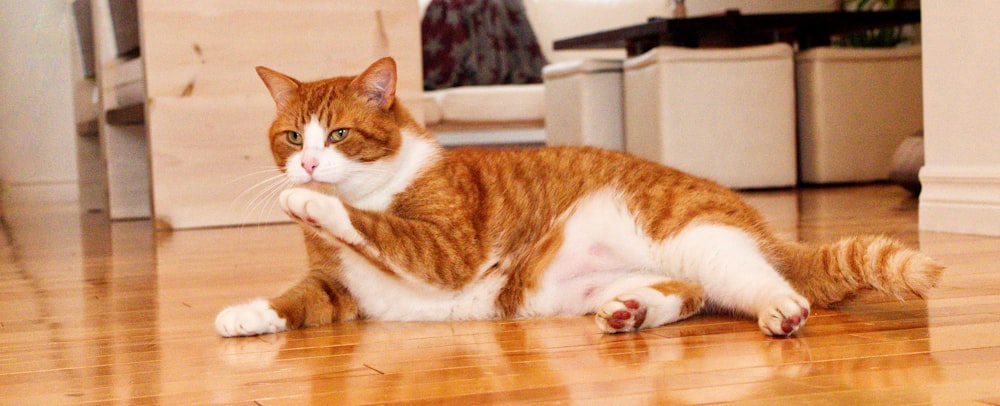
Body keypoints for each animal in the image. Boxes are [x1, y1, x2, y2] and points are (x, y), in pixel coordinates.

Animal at [215, 56, 940, 336]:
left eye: (338, 133)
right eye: (290, 135)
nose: (307, 165)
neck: (389, 179)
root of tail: (752, 219)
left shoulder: (445, 248)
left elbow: (374, 225)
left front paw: (314, 204)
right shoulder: (336, 289)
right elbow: (293, 300)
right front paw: (246, 315)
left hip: (694, 237)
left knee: (760, 282)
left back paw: (780, 309)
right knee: (690, 295)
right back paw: (632, 311)